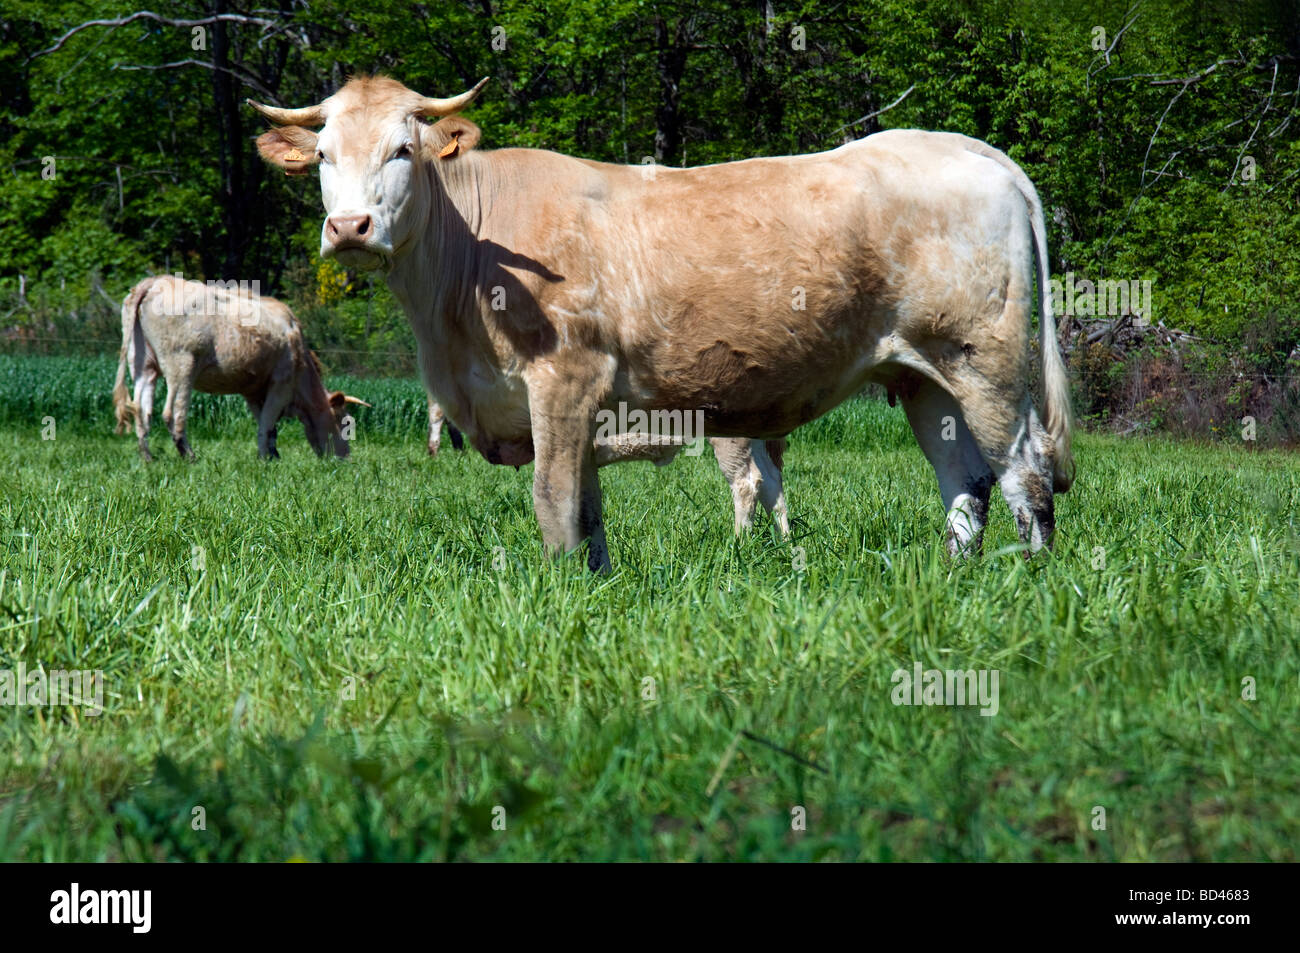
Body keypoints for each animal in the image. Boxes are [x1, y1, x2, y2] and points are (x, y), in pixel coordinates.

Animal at [112, 276, 368, 460]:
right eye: (343, 421)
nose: (345, 458)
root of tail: (156, 281)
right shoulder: (281, 384)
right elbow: (266, 424)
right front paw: (265, 459)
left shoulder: (253, 391)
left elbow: (268, 425)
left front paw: (273, 456)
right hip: (181, 365)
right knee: (172, 412)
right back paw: (189, 456)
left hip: (143, 364)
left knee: (141, 408)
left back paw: (148, 457)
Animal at [249, 75, 1073, 572]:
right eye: (322, 155)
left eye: (402, 149)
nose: (349, 227)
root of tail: (963, 146)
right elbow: (589, 513)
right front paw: (597, 586)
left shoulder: (563, 381)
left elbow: (553, 503)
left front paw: (559, 597)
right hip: (921, 374)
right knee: (965, 481)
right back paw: (953, 575)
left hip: (986, 362)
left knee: (1026, 474)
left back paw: (1030, 579)